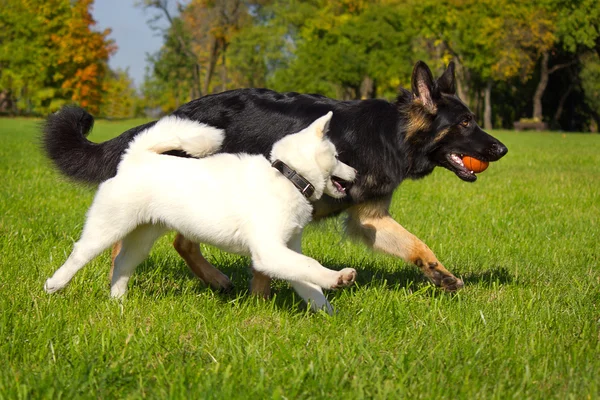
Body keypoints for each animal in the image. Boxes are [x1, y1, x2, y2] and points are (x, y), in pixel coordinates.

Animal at [47, 111, 358, 312]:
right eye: (337, 156)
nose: (356, 173)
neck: (287, 177)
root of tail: (135, 157)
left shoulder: (286, 249)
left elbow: (307, 280)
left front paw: (327, 311)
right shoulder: (269, 251)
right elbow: (311, 266)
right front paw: (338, 278)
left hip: (142, 237)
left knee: (123, 264)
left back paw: (118, 302)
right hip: (108, 227)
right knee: (79, 254)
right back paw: (54, 285)